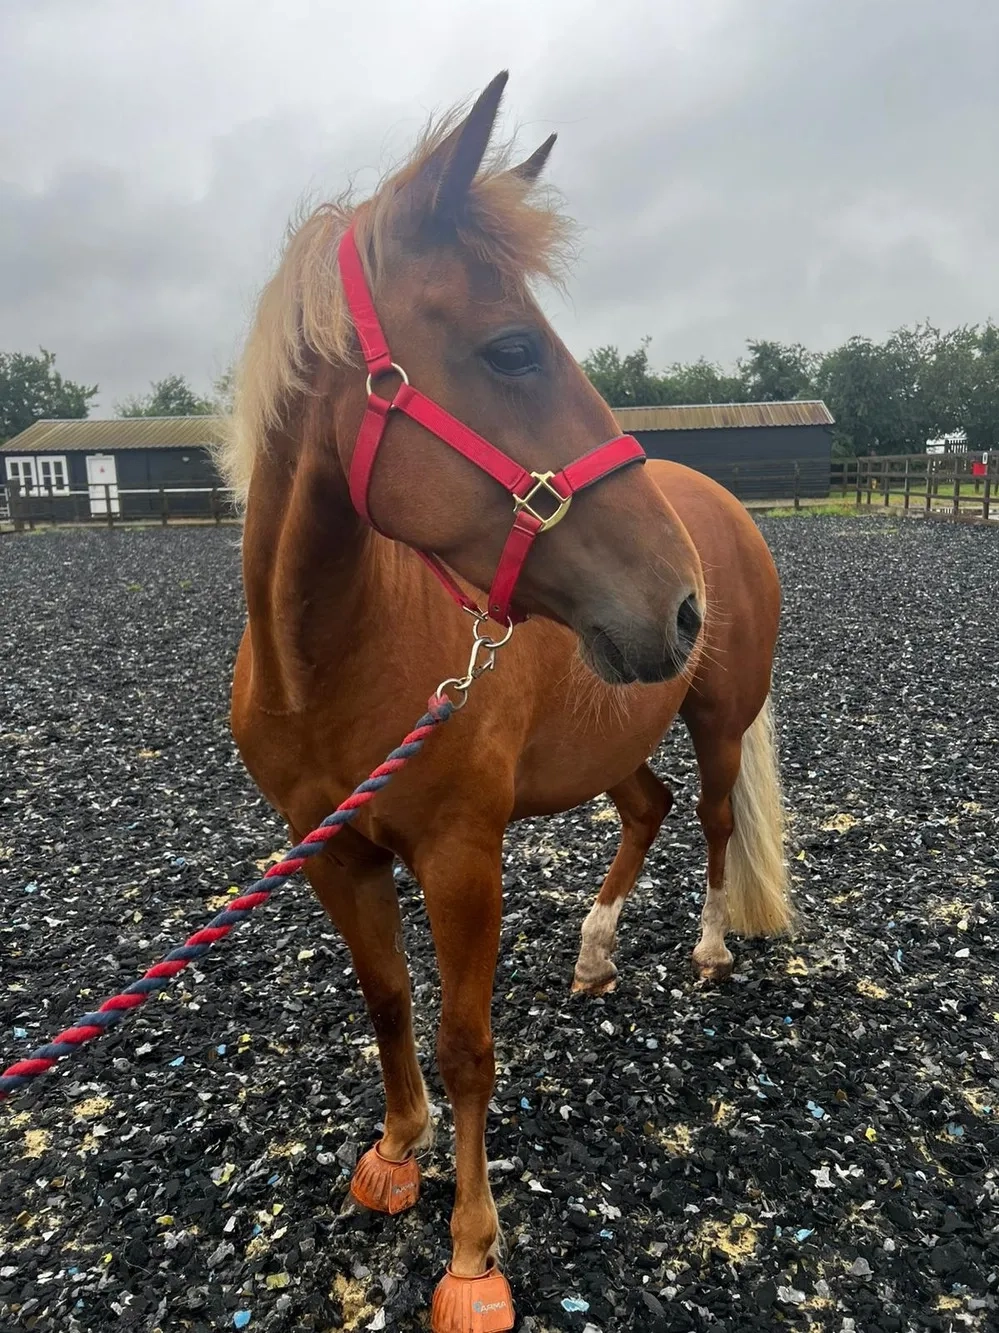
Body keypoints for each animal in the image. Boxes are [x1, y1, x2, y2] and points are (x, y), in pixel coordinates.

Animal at [220, 71, 792, 1333]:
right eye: (512, 348)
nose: (680, 604)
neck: (334, 658)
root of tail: (723, 509)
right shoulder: (333, 850)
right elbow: (388, 1001)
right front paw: (396, 1152)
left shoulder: (461, 855)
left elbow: (467, 1040)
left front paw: (474, 1254)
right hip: (614, 732)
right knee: (650, 809)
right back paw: (594, 953)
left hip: (717, 720)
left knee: (712, 822)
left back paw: (708, 950)